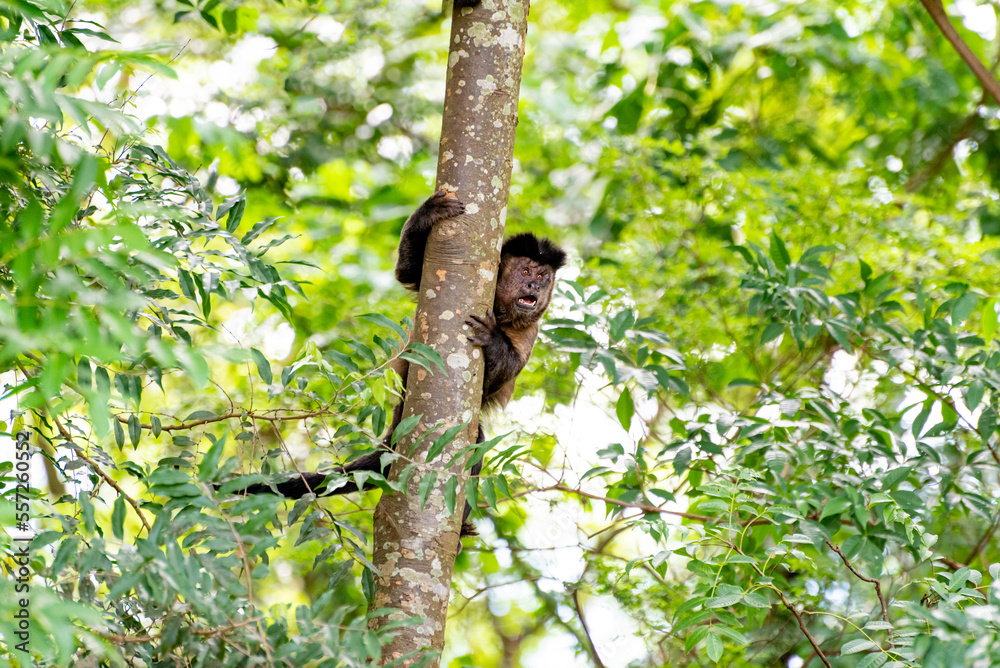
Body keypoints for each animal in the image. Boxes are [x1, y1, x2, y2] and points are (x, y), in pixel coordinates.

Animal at [220, 191, 566, 538]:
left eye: (543, 276)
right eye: (525, 273)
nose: (535, 287)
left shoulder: (531, 329)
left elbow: (502, 375)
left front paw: (493, 338)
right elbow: (408, 273)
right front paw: (428, 212)